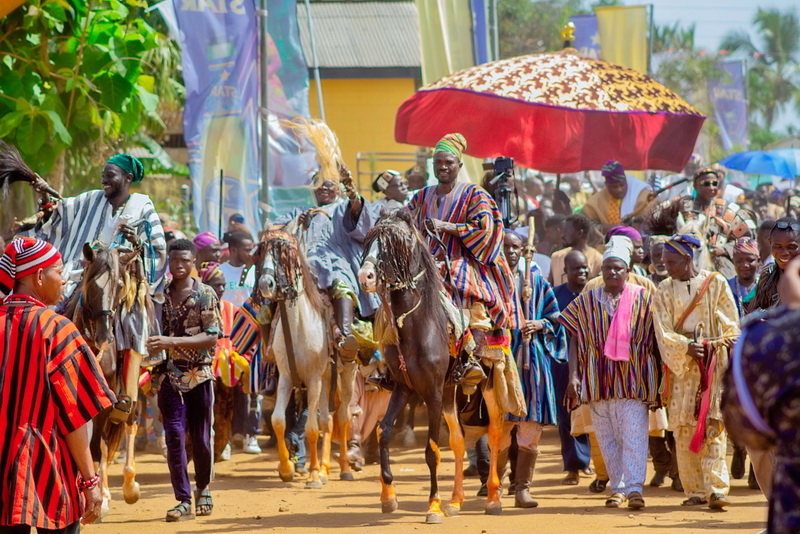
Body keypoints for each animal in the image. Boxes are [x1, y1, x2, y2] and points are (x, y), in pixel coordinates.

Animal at [64, 244, 155, 516]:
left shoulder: (104, 400)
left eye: (119, 286)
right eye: (91, 284)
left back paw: (128, 486)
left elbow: (96, 447)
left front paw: (98, 500)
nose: (105, 336)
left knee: (130, 424)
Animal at [360, 209, 504, 524]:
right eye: (369, 240)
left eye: (396, 243)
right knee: (459, 440)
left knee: (494, 431)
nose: (366, 275)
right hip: (451, 392)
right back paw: (456, 501)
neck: (415, 325)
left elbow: (432, 451)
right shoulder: (404, 388)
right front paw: (388, 497)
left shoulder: (433, 393)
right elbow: (383, 431)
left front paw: (434, 506)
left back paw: (492, 498)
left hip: (487, 385)